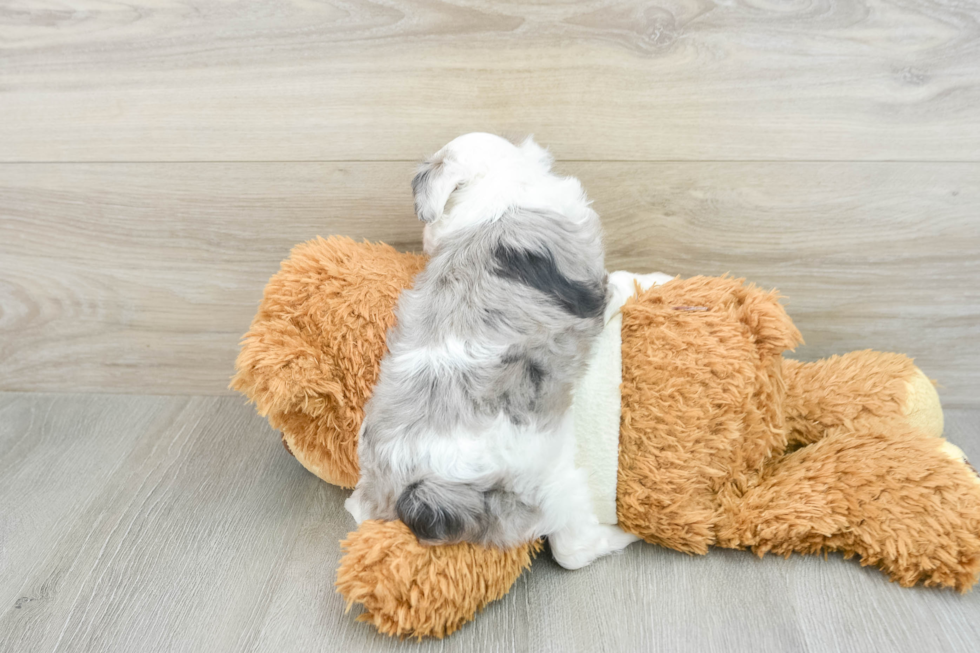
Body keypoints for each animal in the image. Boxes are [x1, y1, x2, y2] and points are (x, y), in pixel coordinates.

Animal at [344, 134, 636, 572]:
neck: (500, 195)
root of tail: (421, 490)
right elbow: (611, 287)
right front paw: (629, 286)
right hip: (544, 480)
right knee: (572, 547)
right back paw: (623, 534)